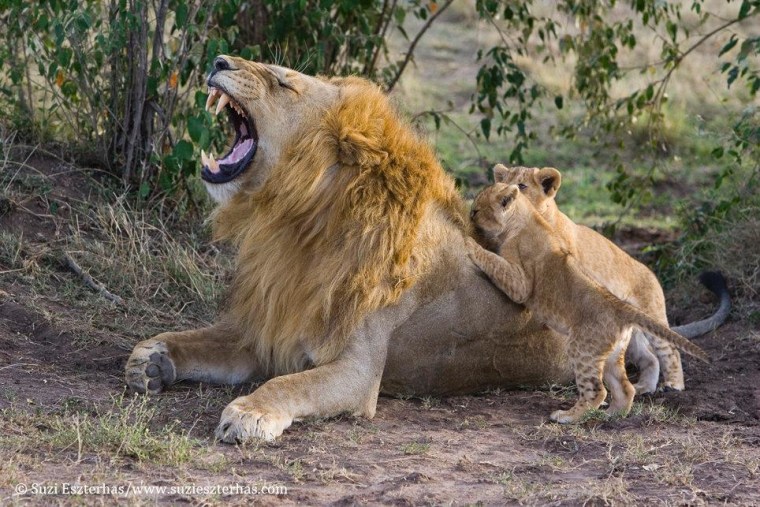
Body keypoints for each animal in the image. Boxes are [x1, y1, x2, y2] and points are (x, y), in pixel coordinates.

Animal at [126, 56, 724, 444]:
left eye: (281, 81)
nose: (219, 58)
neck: (299, 226)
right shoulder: (272, 327)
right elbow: (201, 339)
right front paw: (152, 358)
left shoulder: (358, 371)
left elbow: (289, 382)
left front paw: (250, 413)